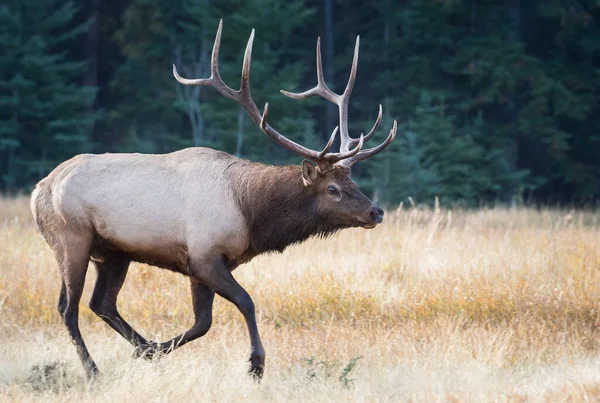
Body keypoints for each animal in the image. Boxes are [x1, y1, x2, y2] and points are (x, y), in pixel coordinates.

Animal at [30, 19, 396, 378]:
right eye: (332, 189)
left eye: (353, 180)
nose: (375, 212)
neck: (249, 212)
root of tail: (38, 190)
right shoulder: (205, 255)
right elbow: (246, 301)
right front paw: (256, 363)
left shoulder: (196, 266)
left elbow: (202, 323)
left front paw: (153, 351)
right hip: (71, 238)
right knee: (68, 308)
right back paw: (93, 370)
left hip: (114, 253)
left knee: (101, 303)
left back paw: (141, 347)